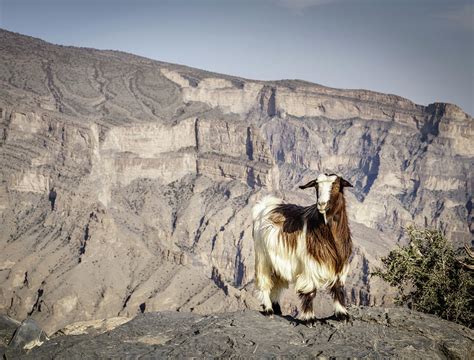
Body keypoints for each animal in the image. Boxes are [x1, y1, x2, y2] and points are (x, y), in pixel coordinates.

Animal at [252, 173, 352, 322]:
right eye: (316, 186)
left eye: (335, 186)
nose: (321, 204)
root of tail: (265, 205)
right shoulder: (309, 265)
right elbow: (310, 291)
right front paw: (310, 318)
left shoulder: (339, 265)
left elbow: (338, 288)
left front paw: (342, 314)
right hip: (262, 257)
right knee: (264, 282)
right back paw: (268, 309)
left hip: (278, 260)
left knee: (277, 283)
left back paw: (277, 309)